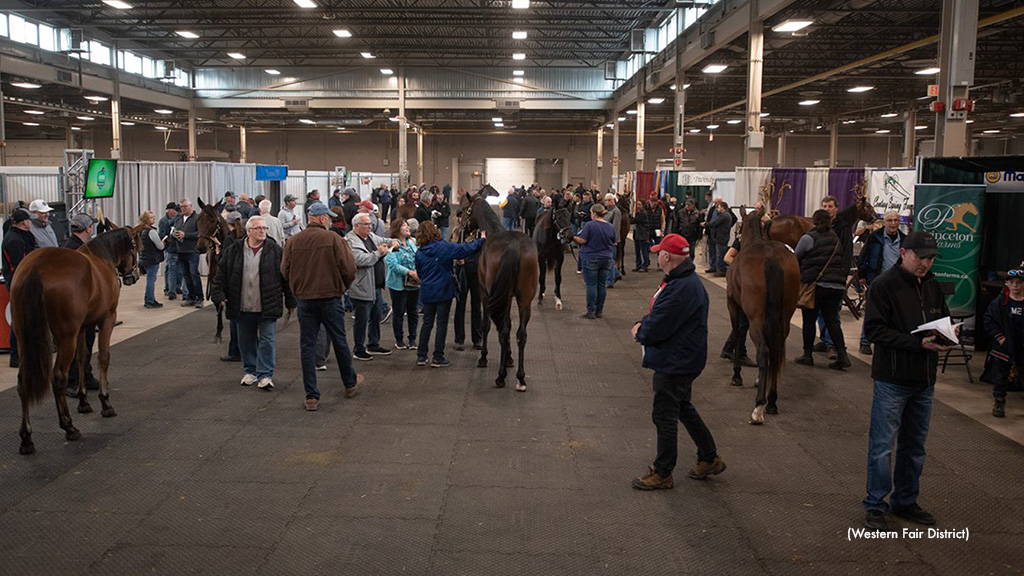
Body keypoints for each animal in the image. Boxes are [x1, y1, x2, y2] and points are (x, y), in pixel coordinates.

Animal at [9, 224, 143, 453]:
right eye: (135, 247)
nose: (132, 276)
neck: (101, 258)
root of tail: (36, 267)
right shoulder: (107, 319)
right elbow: (103, 357)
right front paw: (105, 403)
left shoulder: (82, 328)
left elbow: (82, 358)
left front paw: (83, 402)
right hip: (65, 337)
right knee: (58, 377)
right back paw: (69, 426)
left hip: (23, 337)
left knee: (23, 380)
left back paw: (26, 438)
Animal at [462, 183, 544, 389]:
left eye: (465, 210)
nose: (463, 228)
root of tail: (513, 245)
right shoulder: (511, 298)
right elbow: (509, 324)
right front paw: (510, 358)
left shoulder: (485, 293)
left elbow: (487, 324)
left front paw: (484, 357)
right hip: (524, 299)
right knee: (521, 333)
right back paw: (521, 378)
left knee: (502, 329)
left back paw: (500, 376)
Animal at [724, 207, 802, 422]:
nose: (735, 235)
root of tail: (771, 259)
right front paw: (760, 379)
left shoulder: (734, 304)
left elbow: (738, 333)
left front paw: (737, 376)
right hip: (784, 318)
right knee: (775, 351)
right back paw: (772, 402)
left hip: (756, 319)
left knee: (764, 351)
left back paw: (758, 407)